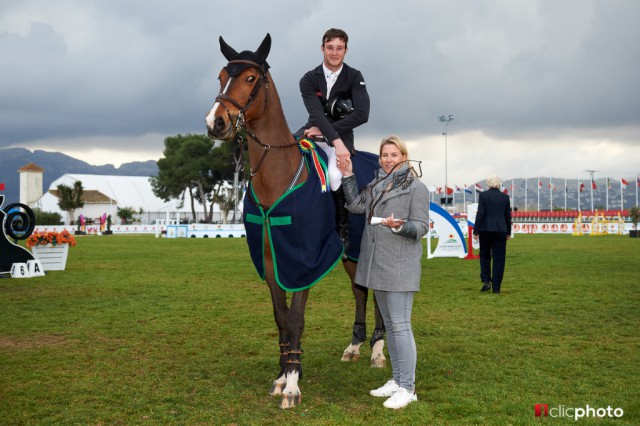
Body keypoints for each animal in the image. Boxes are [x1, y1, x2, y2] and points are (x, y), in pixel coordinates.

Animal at [205, 32, 384, 406]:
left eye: (251, 78)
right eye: (220, 76)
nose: (216, 123)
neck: (278, 174)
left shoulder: (304, 261)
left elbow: (296, 318)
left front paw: (292, 383)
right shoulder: (272, 260)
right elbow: (281, 319)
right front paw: (281, 375)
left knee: (377, 293)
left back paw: (377, 350)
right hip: (350, 254)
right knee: (360, 291)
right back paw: (354, 346)